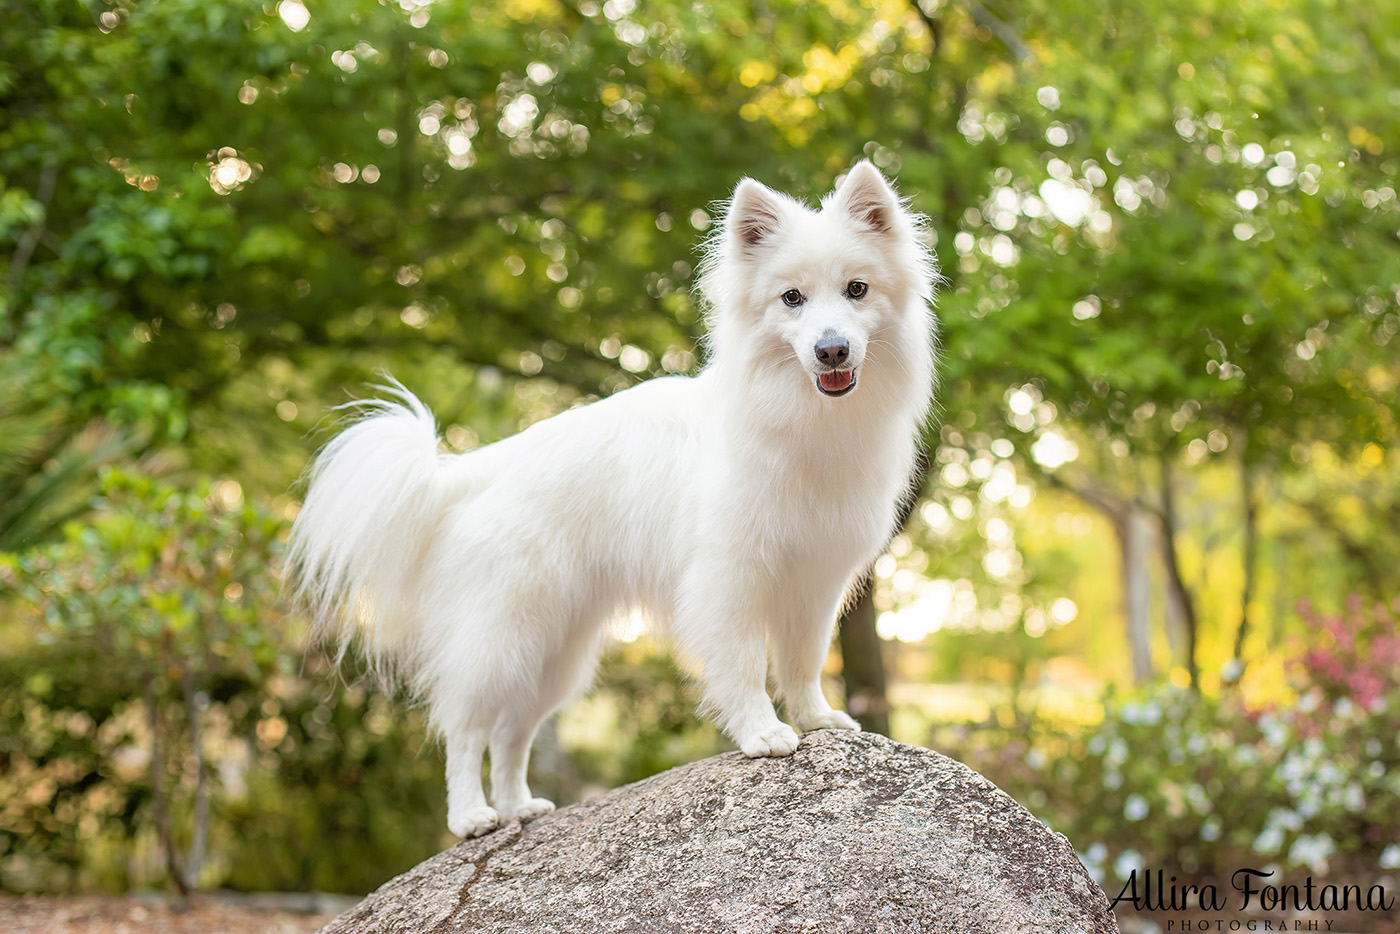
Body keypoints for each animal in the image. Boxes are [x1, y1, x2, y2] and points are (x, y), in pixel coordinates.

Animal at [288, 162, 935, 840]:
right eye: (792, 299)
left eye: (857, 290)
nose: (832, 349)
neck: (804, 420)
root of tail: (469, 472)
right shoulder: (728, 580)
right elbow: (742, 665)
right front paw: (763, 734)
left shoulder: (813, 582)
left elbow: (803, 664)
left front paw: (816, 720)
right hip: (501, 639)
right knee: (466, 730)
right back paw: (473, 817)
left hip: (553, 653)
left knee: (512, 734)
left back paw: (520, 807)